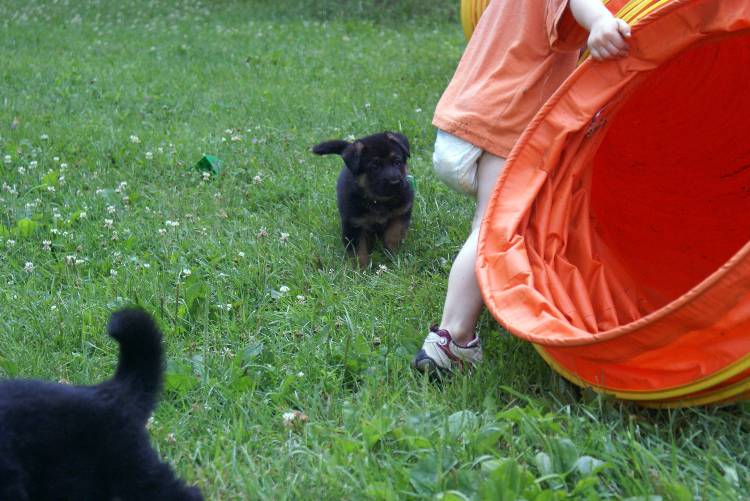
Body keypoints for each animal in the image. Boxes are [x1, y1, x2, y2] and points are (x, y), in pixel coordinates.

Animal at [312, 131, 418, 268]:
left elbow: (393, 236)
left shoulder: (400, 214)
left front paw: (394, 258)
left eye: (397, 162)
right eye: (375, 167)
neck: (380, 201)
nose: (395, 182)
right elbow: (359, 251)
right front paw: (361, 270)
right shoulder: (354, 225)